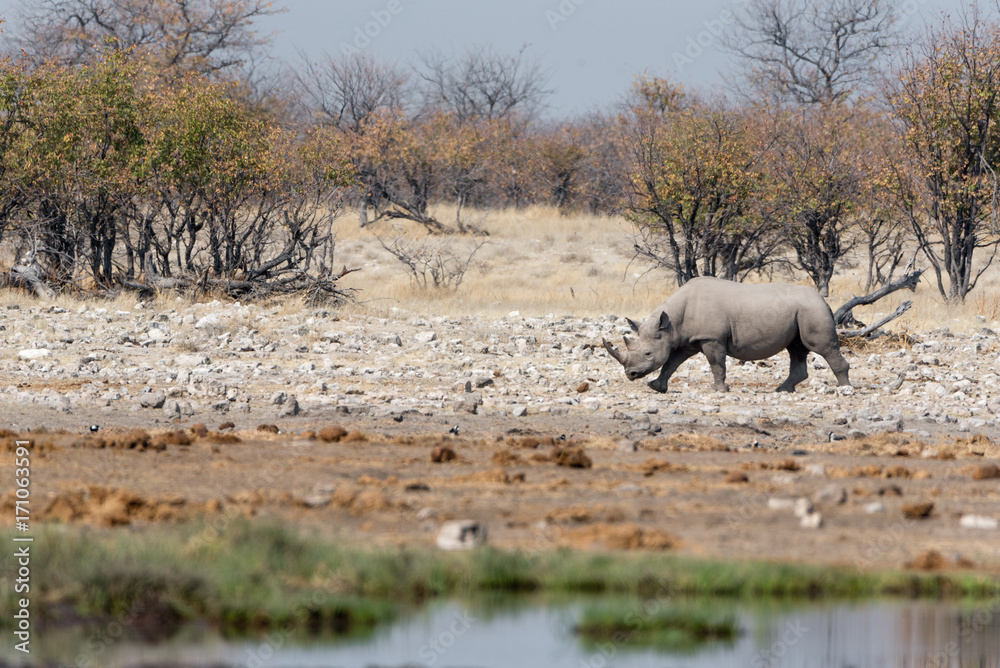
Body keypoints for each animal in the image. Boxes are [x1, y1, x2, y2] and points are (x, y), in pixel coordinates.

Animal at [603, 277, 851, 393]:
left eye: (647, 353)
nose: (631, 374)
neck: (670, 324)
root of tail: (823, 300)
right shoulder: (687, 340)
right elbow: (671, 363)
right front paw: (657, 387)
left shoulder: (711, 338)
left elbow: (716, 364)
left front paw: (720, 390)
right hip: (800, 312)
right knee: (796, 349)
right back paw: (782, 390)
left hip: (812, 310)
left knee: (821, 347)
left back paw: (844, 388)